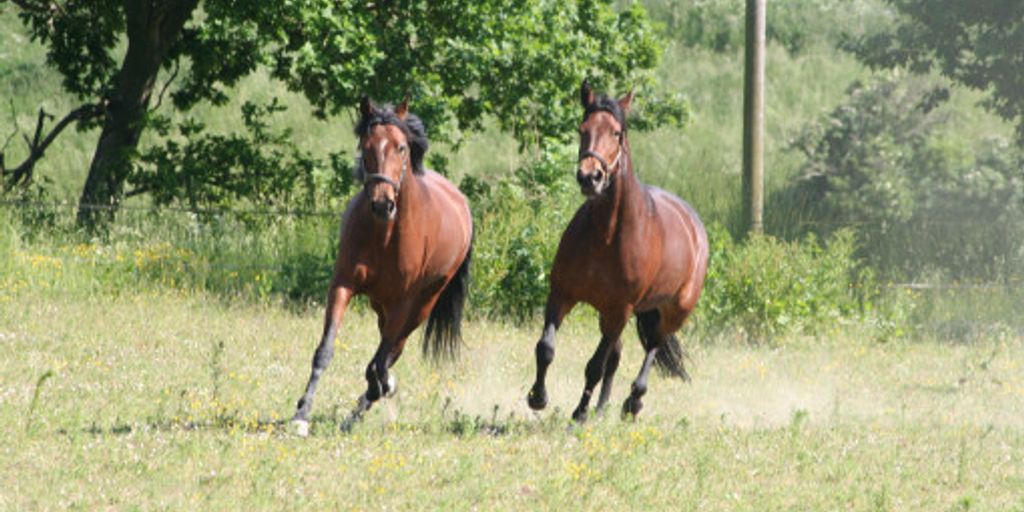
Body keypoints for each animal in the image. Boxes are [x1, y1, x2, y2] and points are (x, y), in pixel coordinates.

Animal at [290, 96, 473, 436]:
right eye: (366, 145)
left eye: (401, 147)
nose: (382, 204)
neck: (385, 234)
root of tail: (461, 203)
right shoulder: (343, 285)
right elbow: (325, 350)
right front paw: (301, 414)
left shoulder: (404, 303)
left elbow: (377, 363)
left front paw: (380, 388)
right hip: (380, 305)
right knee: (387, 351)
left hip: (421, 306)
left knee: (392, 350)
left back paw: (367, 403)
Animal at [524, 81, 708, 421]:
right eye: (582, 129)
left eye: (617, 133)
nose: (590, 177)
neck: (607, 235)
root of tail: (693, 224)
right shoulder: (562, 295)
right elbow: (546, 348)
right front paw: (538, 397)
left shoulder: (620, 310)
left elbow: (594, 366)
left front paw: (578, 415)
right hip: (610, 315)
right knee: (618, 355)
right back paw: (602, 409)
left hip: (671, 312)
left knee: (653, 347)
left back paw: (632, 403)